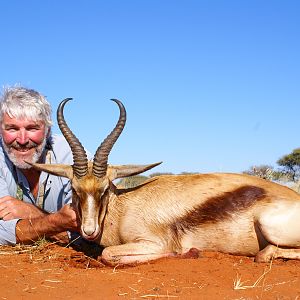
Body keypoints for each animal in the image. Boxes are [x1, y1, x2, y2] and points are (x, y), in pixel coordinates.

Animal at [29, 98, 300, 264]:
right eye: (74, 190)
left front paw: (186, 253)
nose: (89, 230)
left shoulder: (152, 243)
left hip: (267, 225)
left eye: (104, 189)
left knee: (265, 253)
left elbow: (108, 254)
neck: (123, 208)